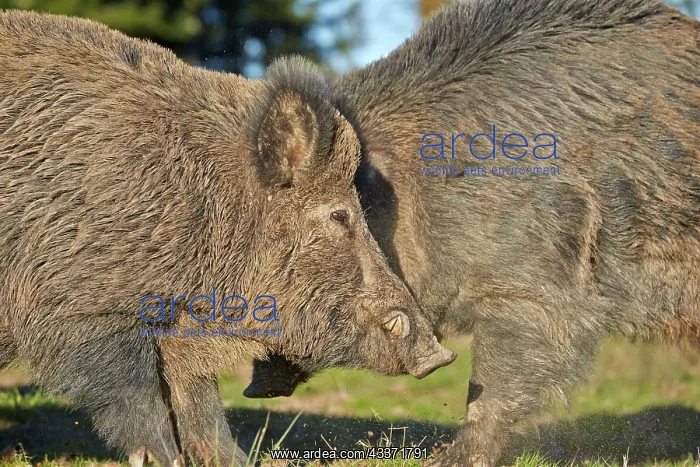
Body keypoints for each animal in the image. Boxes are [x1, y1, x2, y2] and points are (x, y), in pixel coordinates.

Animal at [0, 10, 456, 467]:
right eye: (340, 215)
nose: (440, 356)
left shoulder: (179, 327)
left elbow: (198, 397)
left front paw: (235, 459)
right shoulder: (85, 307)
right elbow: (138, 396)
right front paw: (165, 459)